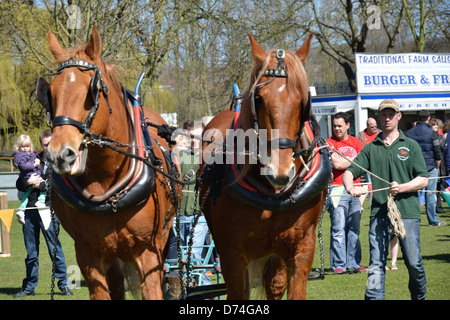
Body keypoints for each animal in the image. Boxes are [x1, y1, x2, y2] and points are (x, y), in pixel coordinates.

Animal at [37, 28, 178, 300]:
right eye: (50, 93)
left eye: (91, 93)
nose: (60, 154)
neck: (107, 187)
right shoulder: (88, 253)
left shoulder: (149, 251)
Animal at [200, 35, 330, 300]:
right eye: (258, 98)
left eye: (303, 99)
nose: (279, 172)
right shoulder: (231, 253)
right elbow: (238, 293)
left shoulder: (302, 248)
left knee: (275, 284)